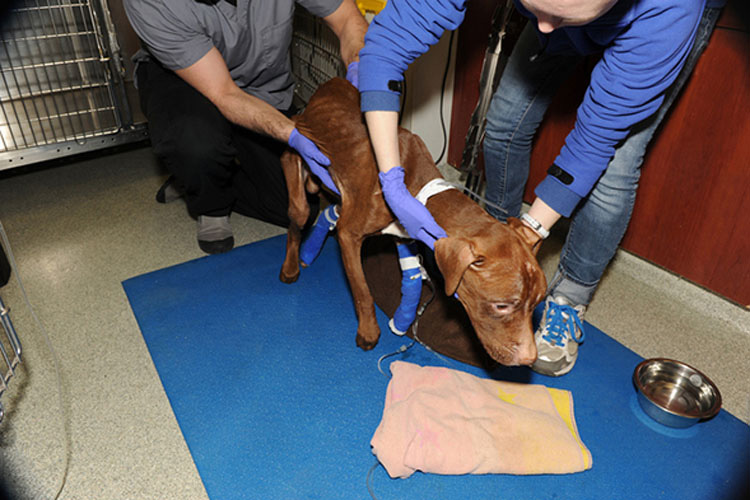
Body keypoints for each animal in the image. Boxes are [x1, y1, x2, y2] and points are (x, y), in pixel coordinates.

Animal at [280, 78, 548, 368]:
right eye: (502, 305)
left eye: (537, 303)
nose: (529, 359)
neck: (418, 186)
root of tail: (325, 87)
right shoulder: (349, 235)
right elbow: (362, 290)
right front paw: (368, 331)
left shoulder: (406, 233)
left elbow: (413, 278)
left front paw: (403, 318)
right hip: (297, 154)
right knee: (298, 210)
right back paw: (292, 265)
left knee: (330, 211)